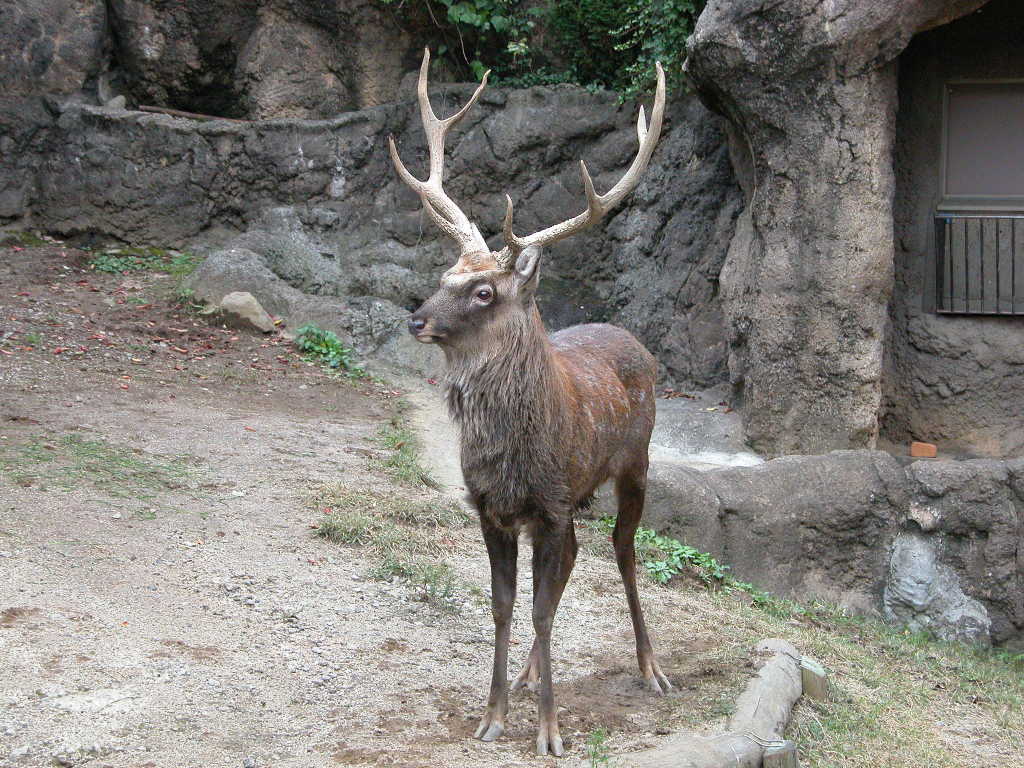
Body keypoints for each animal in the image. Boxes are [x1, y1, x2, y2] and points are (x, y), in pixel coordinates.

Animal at [389, 48, 669, 757]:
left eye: (484, 291)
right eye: (446, 276)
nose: (417, 319)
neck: (514, 457)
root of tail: (629, 335)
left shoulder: (550, 505)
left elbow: (541, 607)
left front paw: (549, 731)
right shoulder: (493, 509)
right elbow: (504, 605)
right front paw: (492, 713)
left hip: (635, 464)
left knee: (624, 553)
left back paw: (651, 667)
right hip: (577, 499)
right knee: (573, 564)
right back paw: (526, 675)